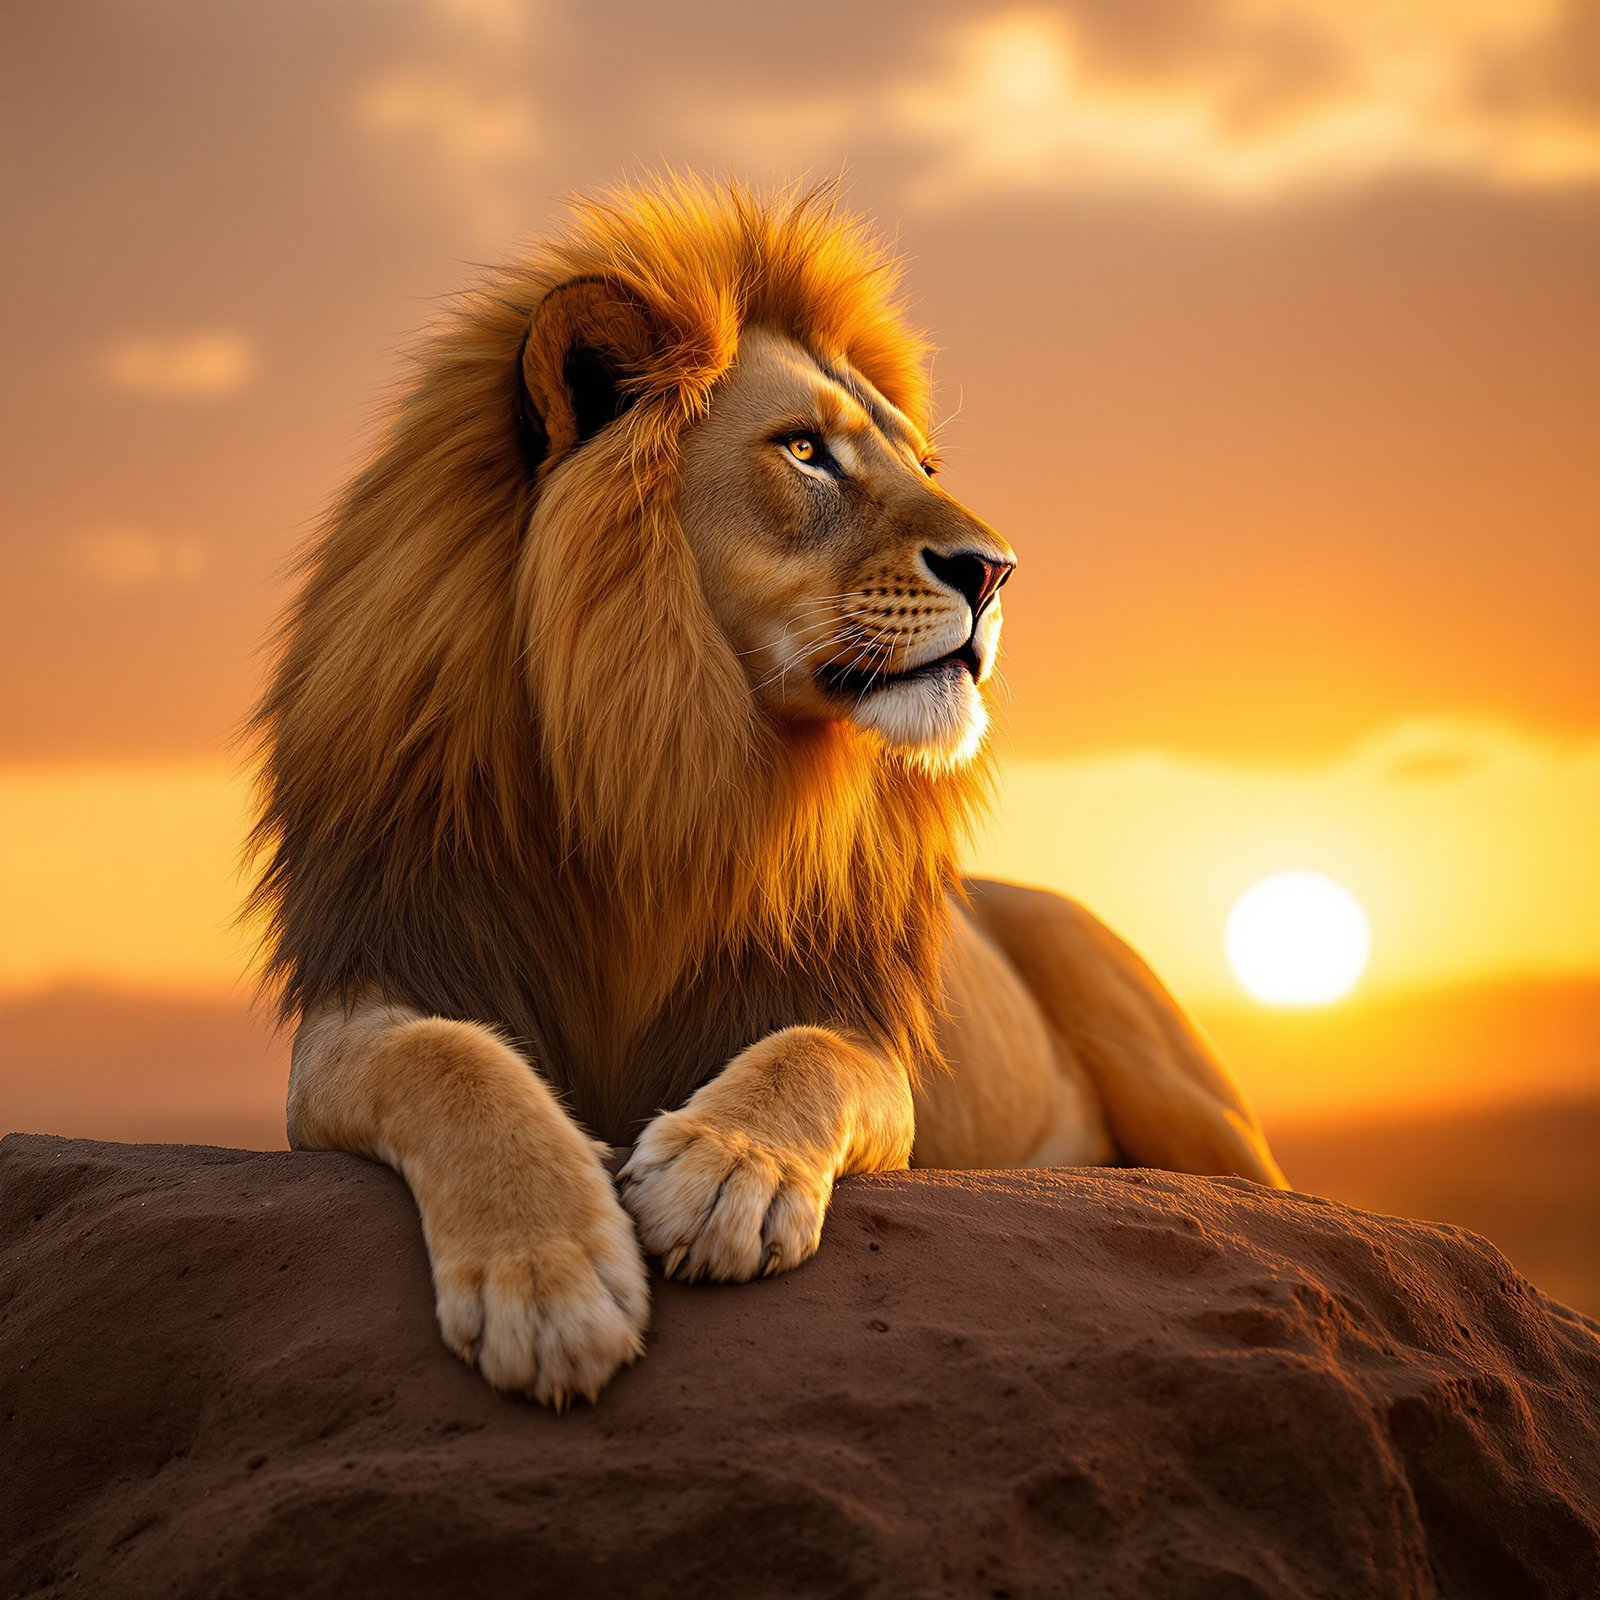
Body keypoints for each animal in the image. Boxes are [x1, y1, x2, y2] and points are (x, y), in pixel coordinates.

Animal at [249, 176, 1285, 1408]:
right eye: (804, 451)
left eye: (922, 467)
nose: (996, 571)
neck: (667, 763)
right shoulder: (373, 993)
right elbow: (452, 1059)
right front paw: (544, 1280)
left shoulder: (864, 1044)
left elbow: (805, 1054)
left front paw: (721, 1172)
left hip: (1185, 1090)